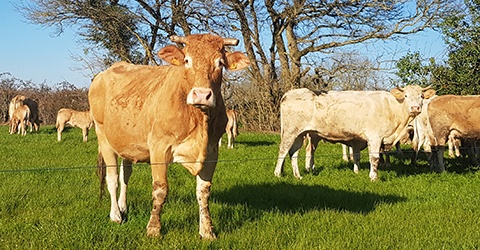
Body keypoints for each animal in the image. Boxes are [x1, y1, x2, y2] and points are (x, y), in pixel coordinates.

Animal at [88, 33, 249, 238]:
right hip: (103, 136)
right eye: (187, 60)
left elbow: (203, 191)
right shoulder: (159, 147)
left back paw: (123, 207)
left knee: (125, 175)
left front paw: (207, 231)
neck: (199, 120)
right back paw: (115, 215)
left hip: (126, 142)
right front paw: (153, 229)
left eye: (220, 63)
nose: (201, 95)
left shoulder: (212, 151)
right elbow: (160, 189)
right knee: (112, 177)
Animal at [274, 85, 436, 181]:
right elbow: (374, 158)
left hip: (300, 134)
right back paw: (278, 173)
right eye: (406, 96)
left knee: (294, 153)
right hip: (291, 131)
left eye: (421, 96)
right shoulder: (375, 137)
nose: (415, 108)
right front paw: (373, 177)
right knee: (283, 150)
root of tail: (290, 93)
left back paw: (298, 176)